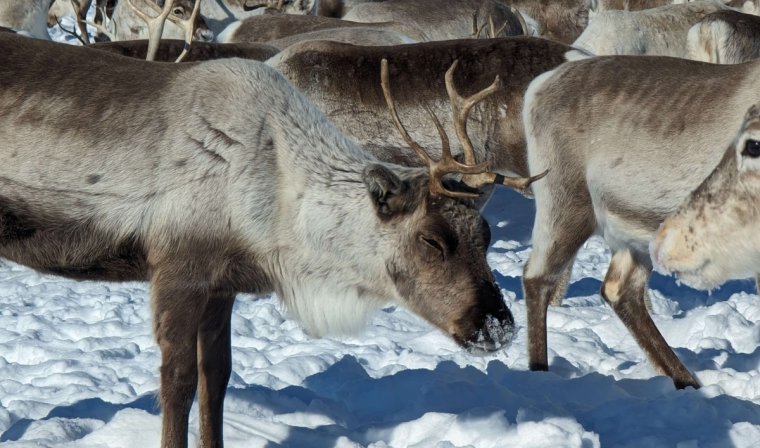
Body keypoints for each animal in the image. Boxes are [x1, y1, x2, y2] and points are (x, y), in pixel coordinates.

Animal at [0, 27, 550, 446]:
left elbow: (216, 378)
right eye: (433, 241)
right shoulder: (178, 268)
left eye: (486, 236)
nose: (498, 326)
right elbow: (177, 384)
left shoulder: (221, 284)